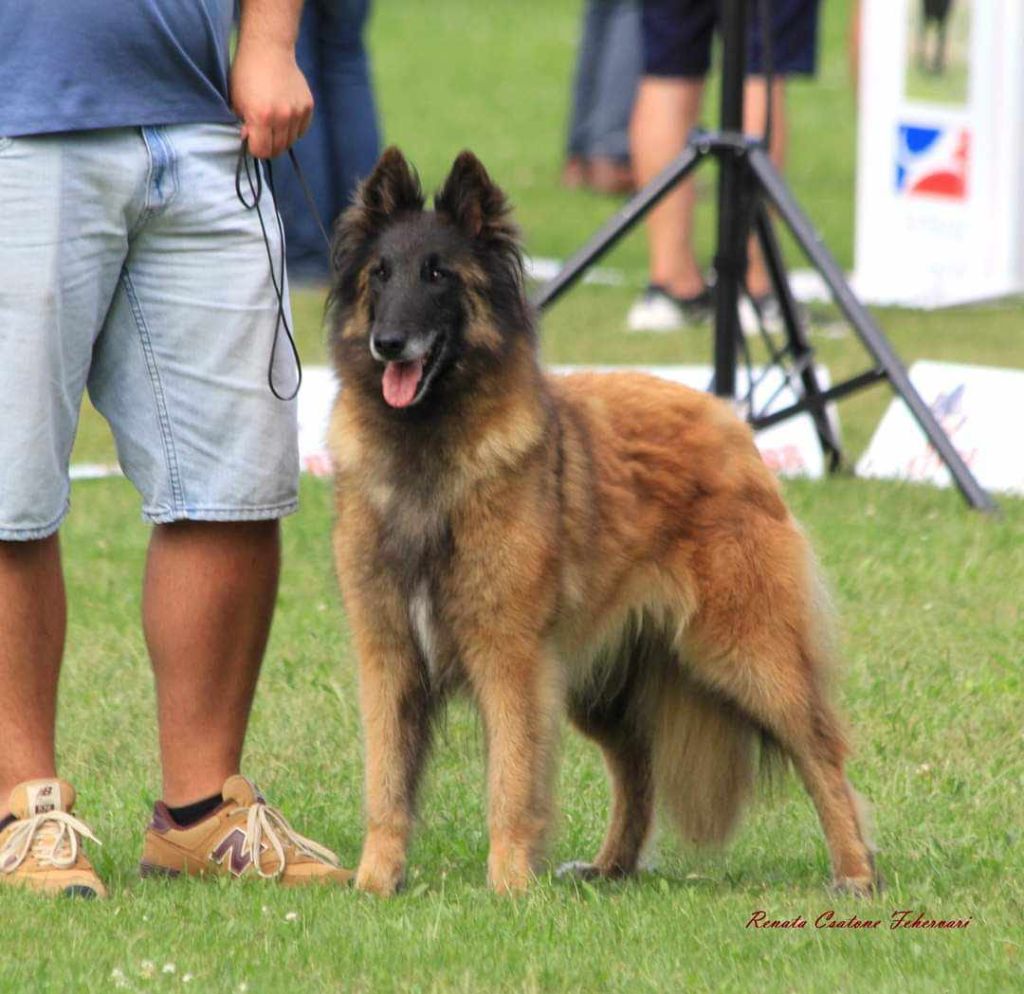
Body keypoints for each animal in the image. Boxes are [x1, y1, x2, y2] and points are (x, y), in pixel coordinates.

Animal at [329, 149, 880, 900]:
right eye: (380, 275)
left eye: (438, 275)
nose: (388, 344)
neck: (428, 451)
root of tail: (731, 418)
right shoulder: (388, 655)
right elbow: (386, 785)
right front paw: (374, 883)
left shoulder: (510, 657)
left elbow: (511, 784)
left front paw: (509, 887)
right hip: (598, 682)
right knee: (637, 764)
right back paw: (610, 866)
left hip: (746, 654)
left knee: (821, 751)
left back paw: (855, 871)